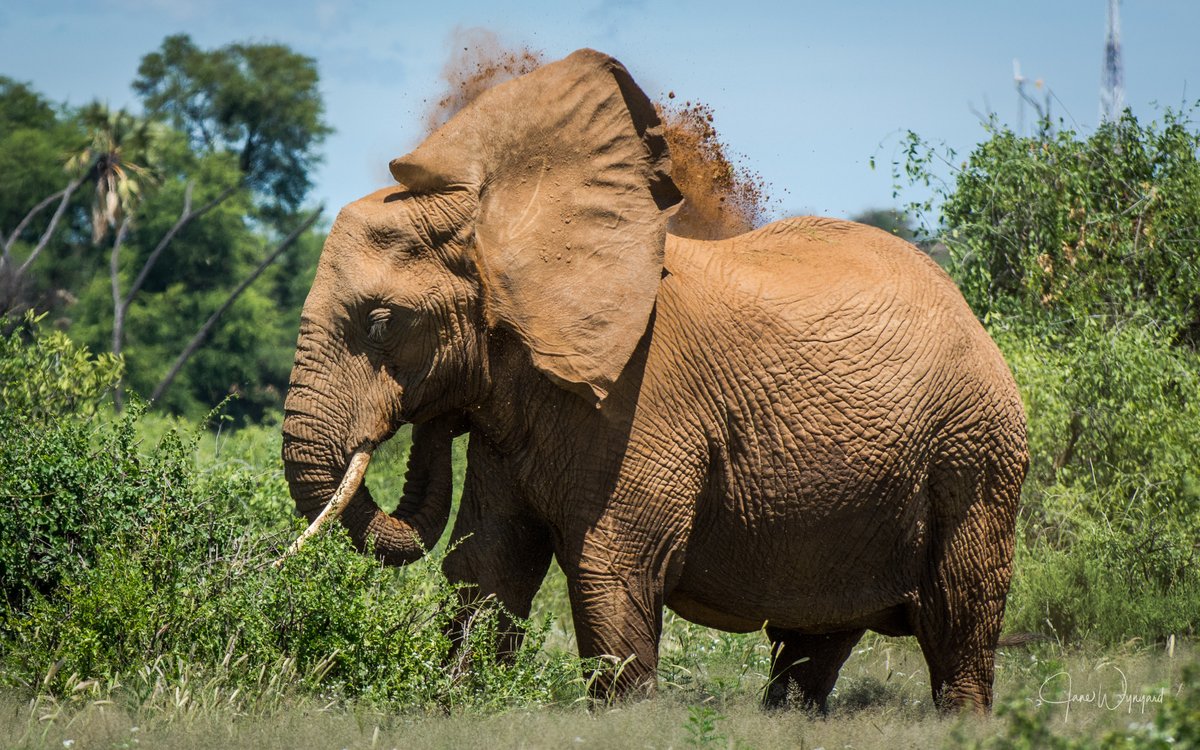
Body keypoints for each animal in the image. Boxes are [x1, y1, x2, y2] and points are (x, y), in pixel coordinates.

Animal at [280, 48, 1028, 713]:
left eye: (381, 322)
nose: (431, 418)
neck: (505, 227)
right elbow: (488, 565)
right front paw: (462, 704)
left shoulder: (642, 403)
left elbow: (613, 571)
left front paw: (621, 720)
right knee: (813, 645)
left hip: (975, 453)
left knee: (958, 619)